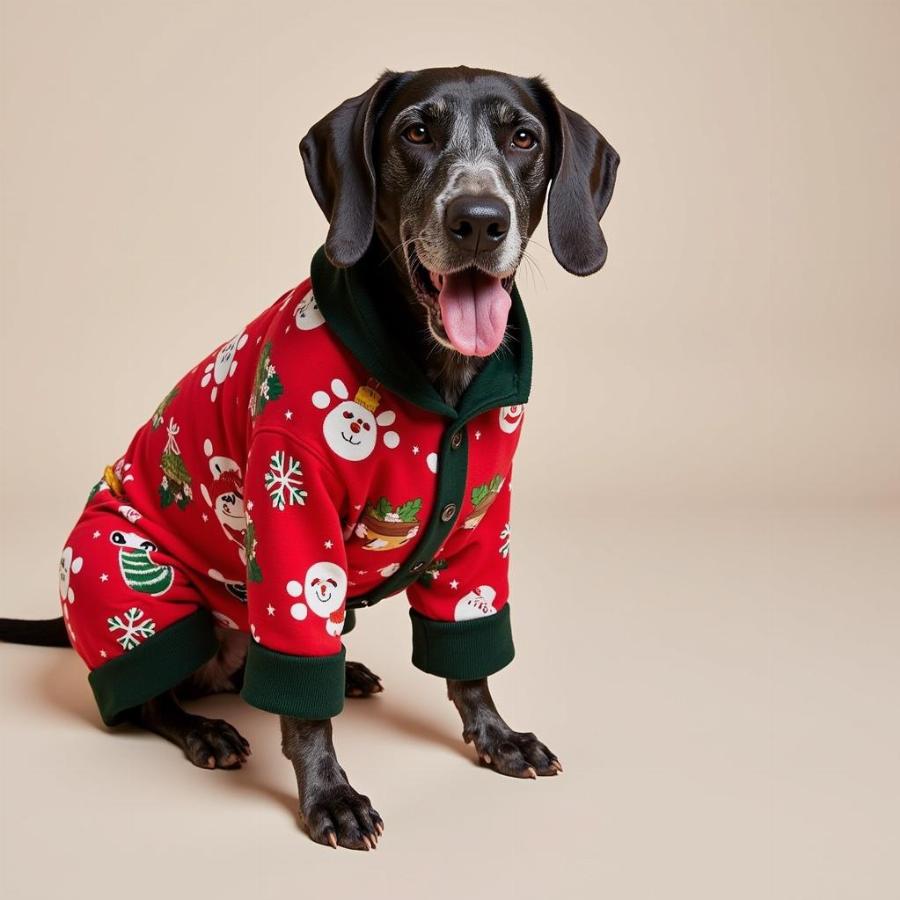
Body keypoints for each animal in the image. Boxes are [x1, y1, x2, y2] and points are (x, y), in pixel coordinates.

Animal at [0, 67, 620, 848]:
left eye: (524, 138)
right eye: (416, 132)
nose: (479, 219)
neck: (437, 376)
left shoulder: (481, 526)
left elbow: (469, 663)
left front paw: (496, 736)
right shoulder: (292, 518)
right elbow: (303, 704)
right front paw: (329, 793)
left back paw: (344, 673)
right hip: (116, 577)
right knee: (153, 701)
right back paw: (204, 729)